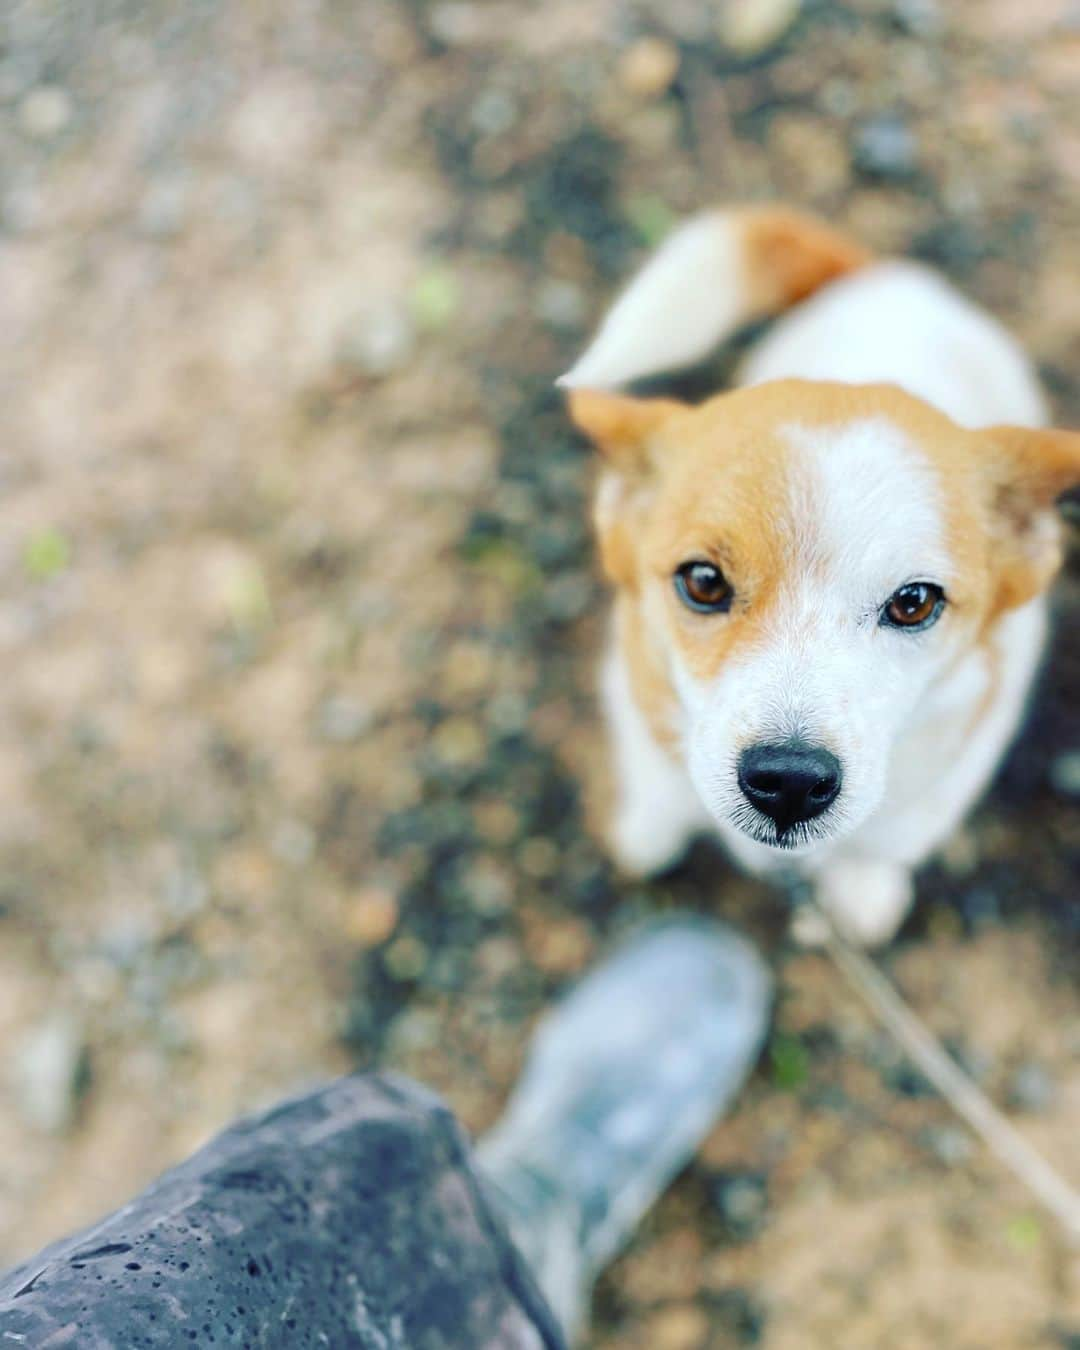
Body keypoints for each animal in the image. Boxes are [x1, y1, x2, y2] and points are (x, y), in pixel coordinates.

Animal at [561, 207, 1074, 950]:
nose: (790, 783)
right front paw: (648, 832)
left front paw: (863, 886)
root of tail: (885, 278)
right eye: (704, 582)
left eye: (914, 602)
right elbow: (657, 790)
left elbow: (881, 844)